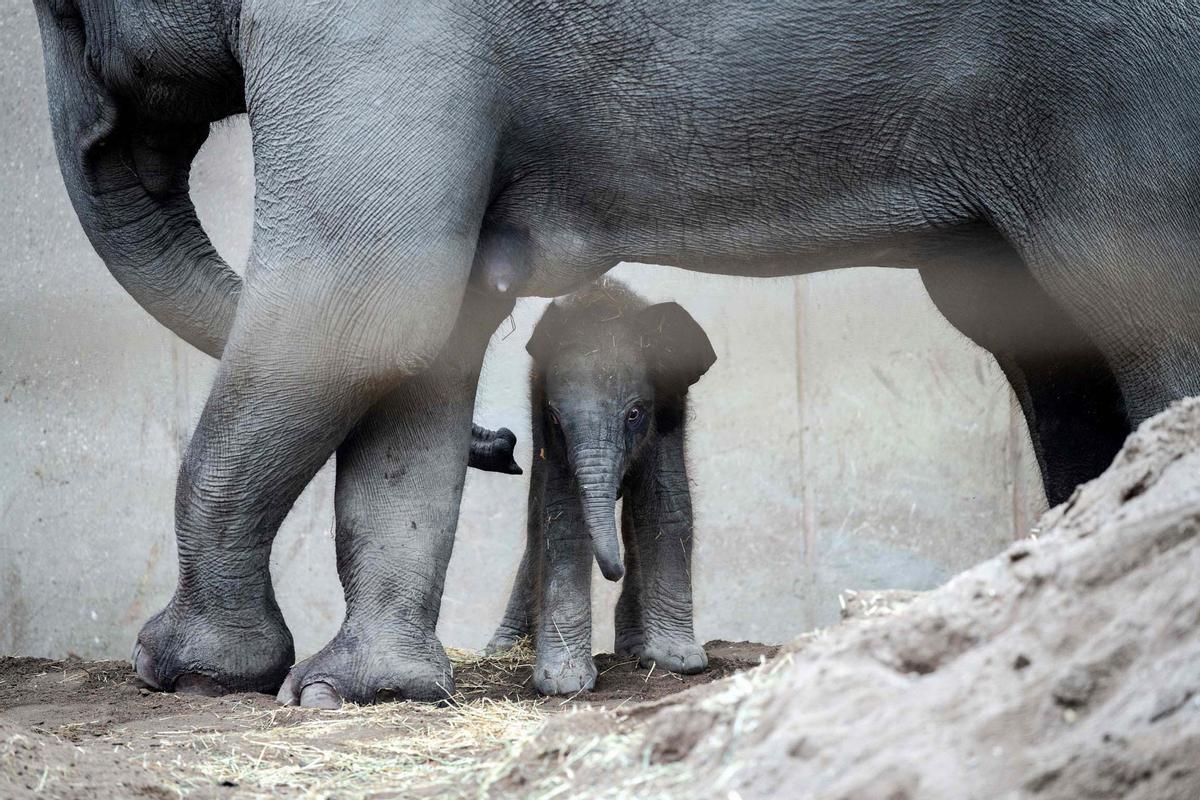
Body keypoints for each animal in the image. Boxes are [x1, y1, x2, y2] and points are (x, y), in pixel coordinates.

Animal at [484, 280, 710, 695]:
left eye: (634, 414)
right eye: (557, 418)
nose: (613, 572)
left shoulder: (670, 406)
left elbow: (664, 506)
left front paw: (679, 661)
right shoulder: (544, 423)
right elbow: (561, 518)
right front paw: (565, 683)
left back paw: (635, 646)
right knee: (536, 521)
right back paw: (503, 649)